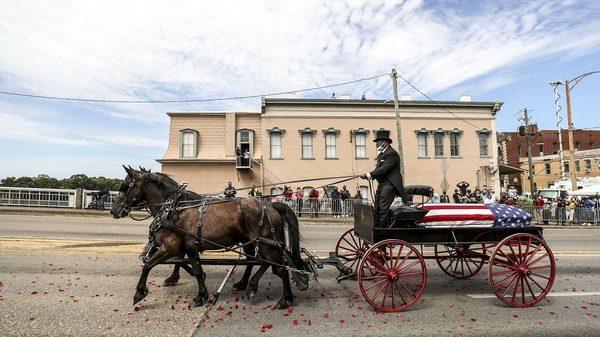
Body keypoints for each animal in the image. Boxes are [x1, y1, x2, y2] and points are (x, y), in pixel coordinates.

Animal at [112, 165, 308, 308]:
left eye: (125, 186)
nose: (114, 210)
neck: (174, 209)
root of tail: (271, 205)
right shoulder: (189, 247)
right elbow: (195, 269)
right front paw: (200, 294)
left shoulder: (170, 247)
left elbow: (148, 264)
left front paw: (139, 292)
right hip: (255, 242)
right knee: (261, 262)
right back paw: (247, 284)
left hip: (267, 244)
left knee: (279, 268)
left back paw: (285, 298)